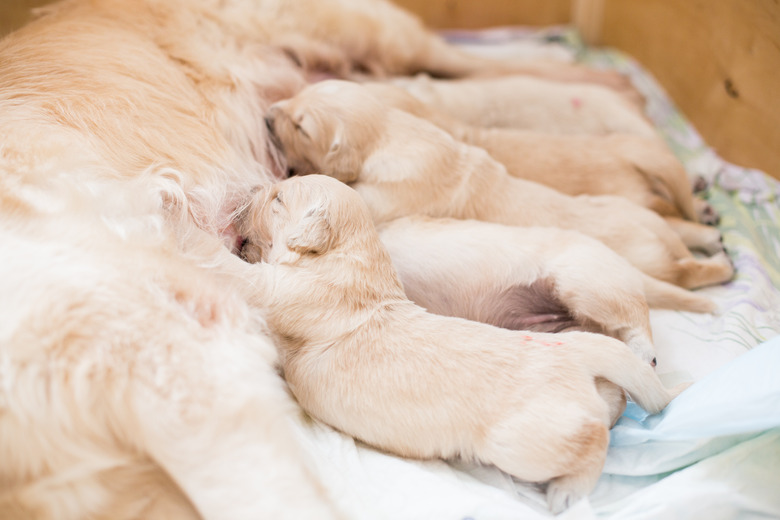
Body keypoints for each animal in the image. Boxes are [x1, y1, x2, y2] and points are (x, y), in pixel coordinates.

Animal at [236, 174, 684, 512]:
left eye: (278, 198)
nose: (251, 188)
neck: (353, 256)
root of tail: (577, 354)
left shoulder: (282, 289)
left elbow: (243, 274)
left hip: (527, 430)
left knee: (595, 432)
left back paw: (567, 492)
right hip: (573, 343)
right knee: (613, 399)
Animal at [266, 82, 736, 292]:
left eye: (301, 127)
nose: (267, 115)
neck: (391, 132)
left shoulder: (386, 195)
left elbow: (346, 193)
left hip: (653, 260)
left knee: (687, 270)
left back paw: (721, 267)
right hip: (636, 210)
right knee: (679, 222)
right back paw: (710, 234)